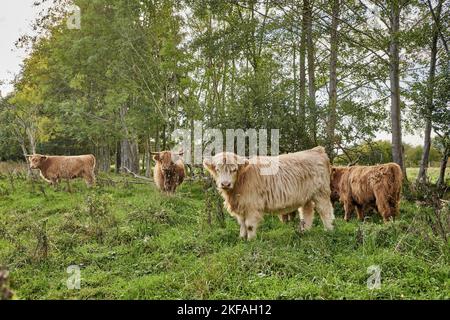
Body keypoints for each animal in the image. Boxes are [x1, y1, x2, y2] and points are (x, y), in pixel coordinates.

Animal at [204, 146, 334, 239]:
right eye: (217, 169)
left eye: (234, 169)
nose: (225, 184)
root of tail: (316, 150)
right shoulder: (241, 206)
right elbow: (242, 225)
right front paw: (241, 239)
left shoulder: (252, 206)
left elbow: (249, 225)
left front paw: (251, 240)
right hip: (306, 196)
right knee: (307, 212)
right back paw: (304, 232)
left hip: (321, 193)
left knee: (325, 211)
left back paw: (328, 231)